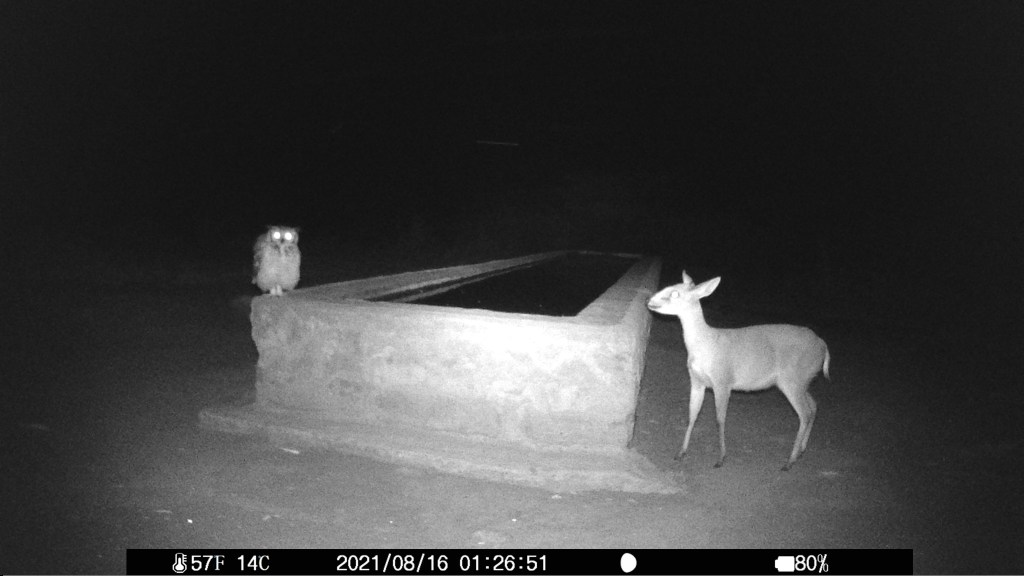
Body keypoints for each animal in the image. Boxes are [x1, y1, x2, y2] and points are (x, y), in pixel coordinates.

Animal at [647, 271, 830, 471]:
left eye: (675, 293)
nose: (649, 301)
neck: (705, 344)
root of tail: (823, 346)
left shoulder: (722, 381)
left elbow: (720, 419)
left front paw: (720, 458)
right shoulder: (696, 381)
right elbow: (692, 415)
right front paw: (681, 453)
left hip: (793, 379)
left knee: (805, 413)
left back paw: (789, 461)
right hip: (803, 380)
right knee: (813, 405)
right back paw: (801, 451)